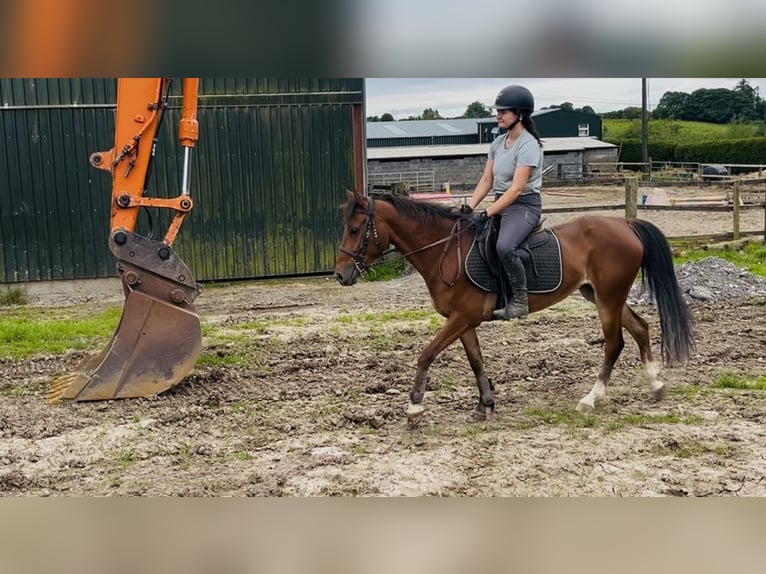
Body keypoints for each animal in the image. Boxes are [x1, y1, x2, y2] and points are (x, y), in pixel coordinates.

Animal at [333, 189, 695, 427]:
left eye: (355, 230)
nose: (340, 275)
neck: (445, 252)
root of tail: (626, 224)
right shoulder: (463, 321)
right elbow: (476, 362)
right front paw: (485, 405)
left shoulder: (461, 318)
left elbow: (426, 355)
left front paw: (414, 409)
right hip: (603, 296)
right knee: (640, 328)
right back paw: (655, 385)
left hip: (608, 298)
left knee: (614, 343)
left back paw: (591, 399)